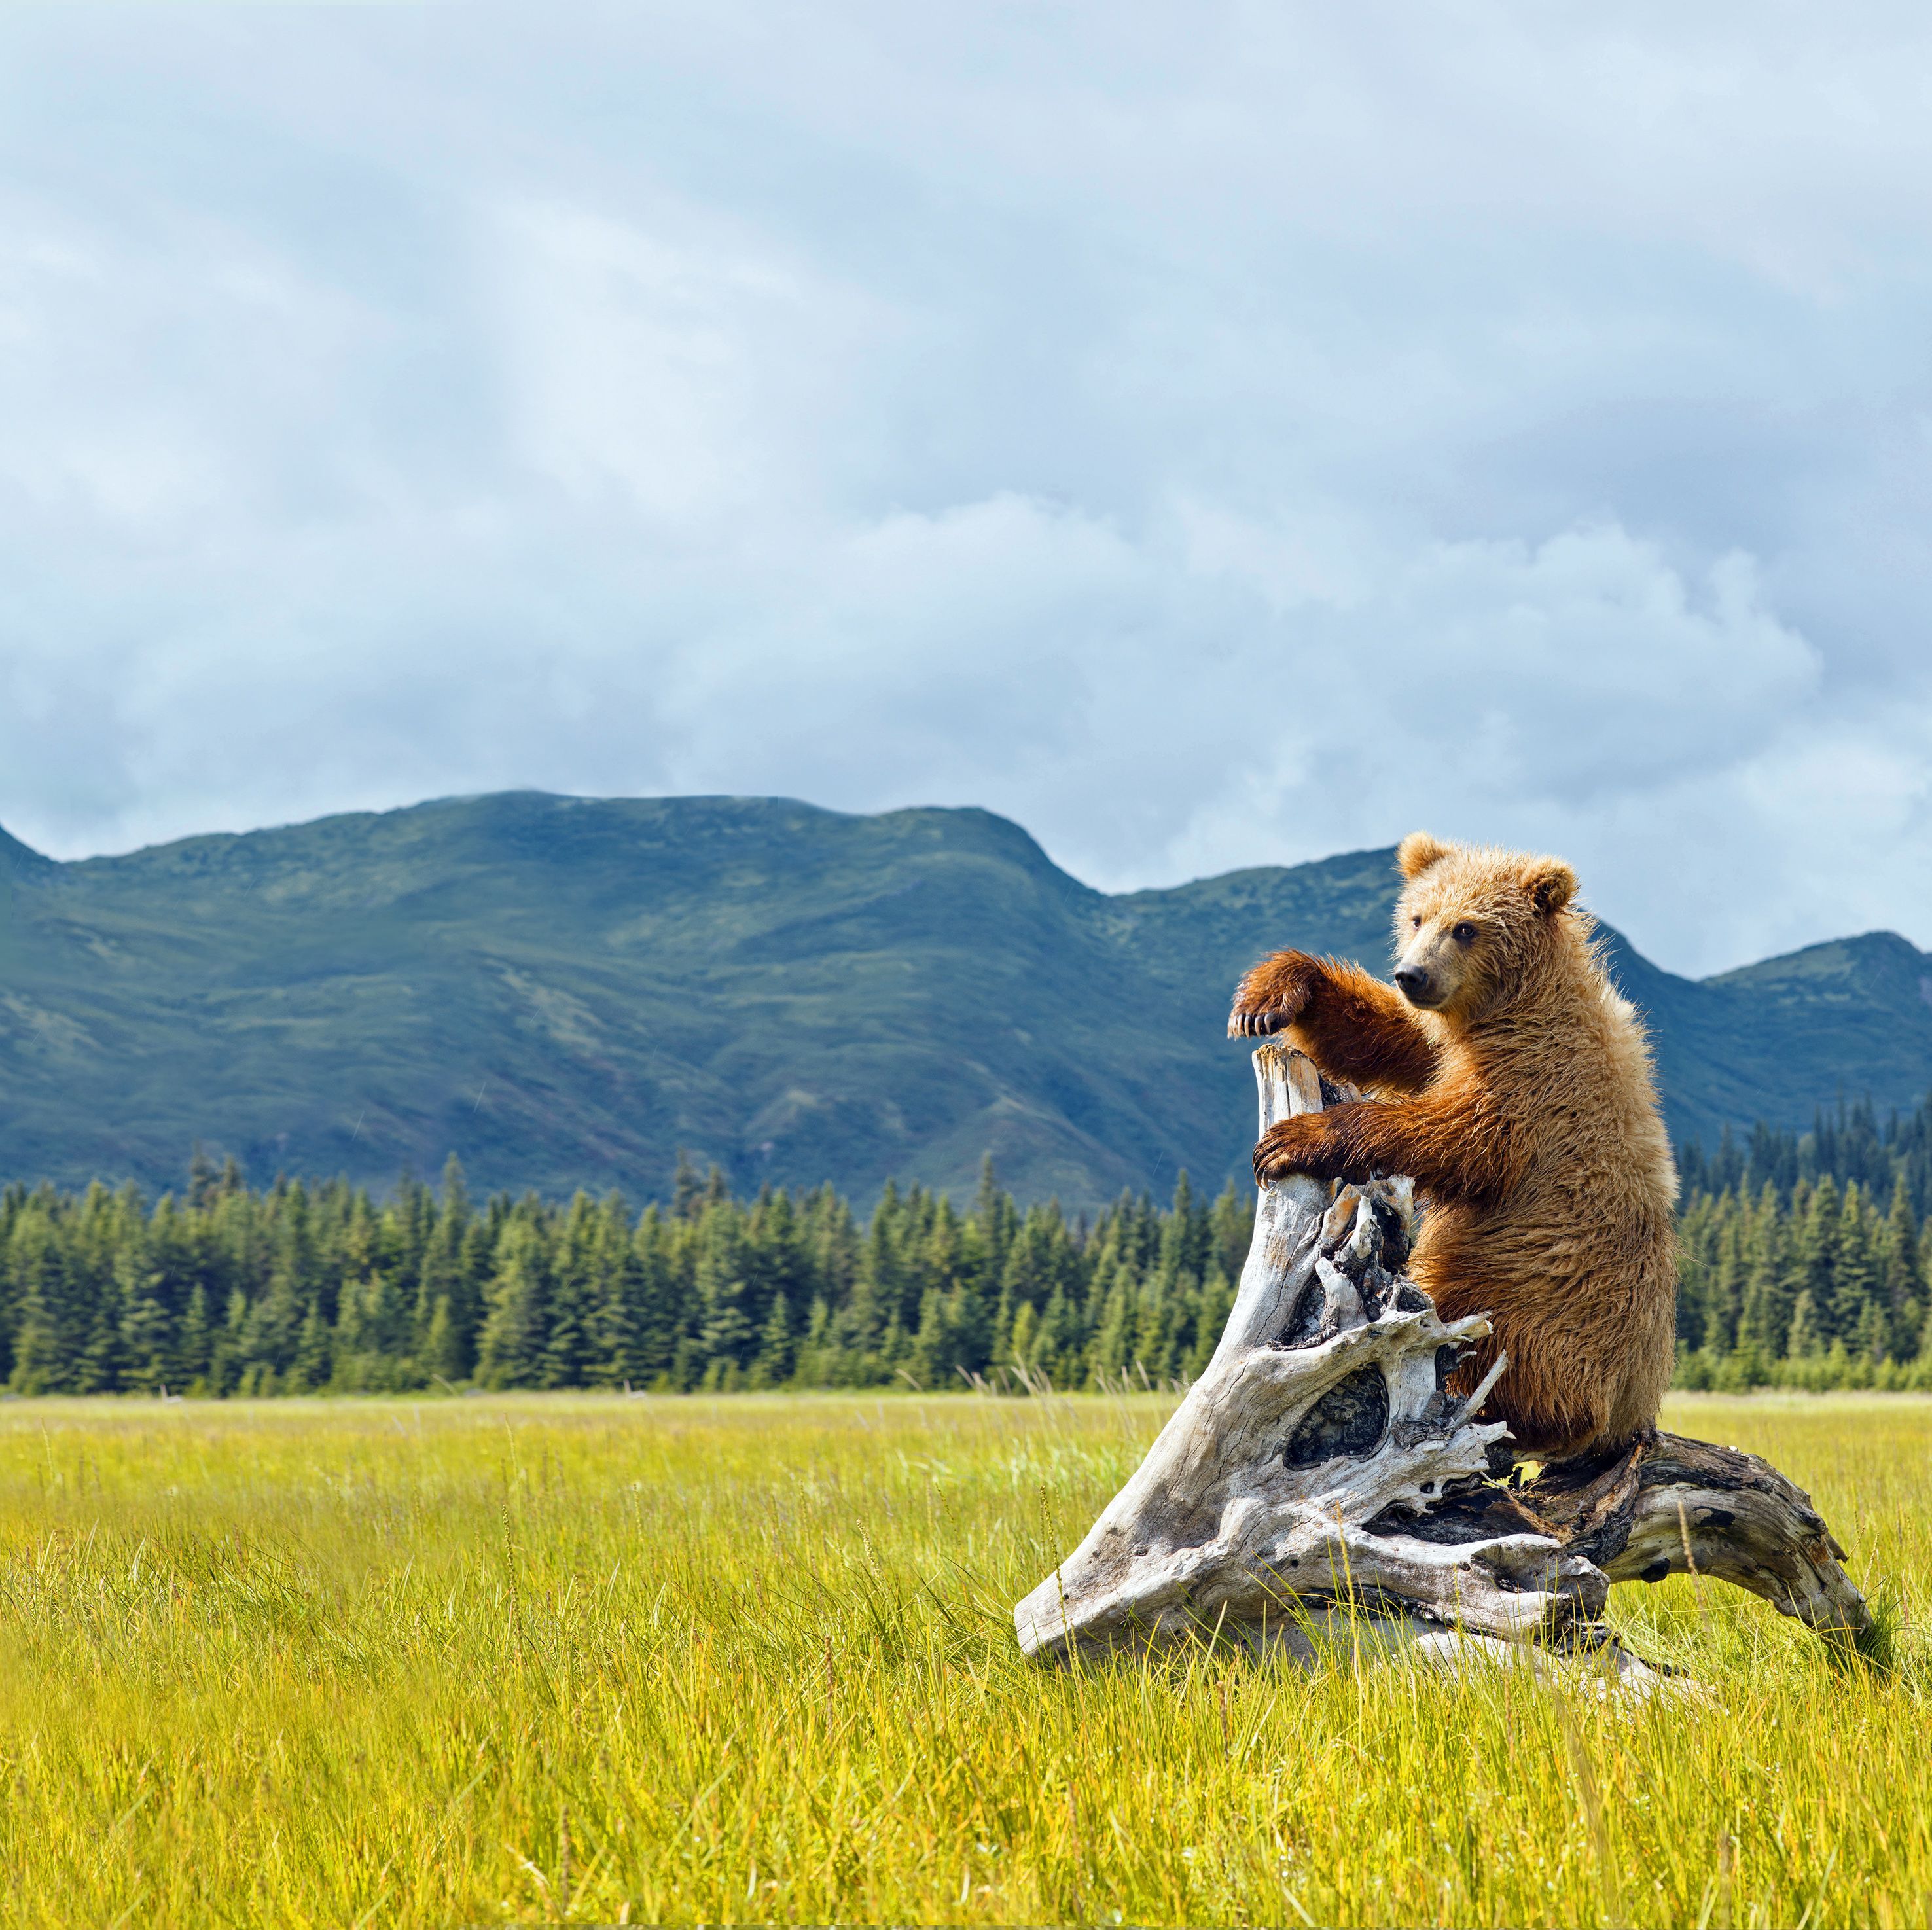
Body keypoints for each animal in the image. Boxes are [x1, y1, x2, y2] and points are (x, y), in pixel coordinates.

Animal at [1236, 834, 1677, 1460]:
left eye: (1466, 927)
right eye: (1418, 916)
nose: (1412, 974)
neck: (1508, 1005)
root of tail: (1633, 1409)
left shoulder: (1535, 1078)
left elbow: (1459, 1137)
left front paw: (1291, 1140)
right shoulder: (1448, 1040)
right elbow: (1390, 1037)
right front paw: (1272, 995)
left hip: (1539, 1295)